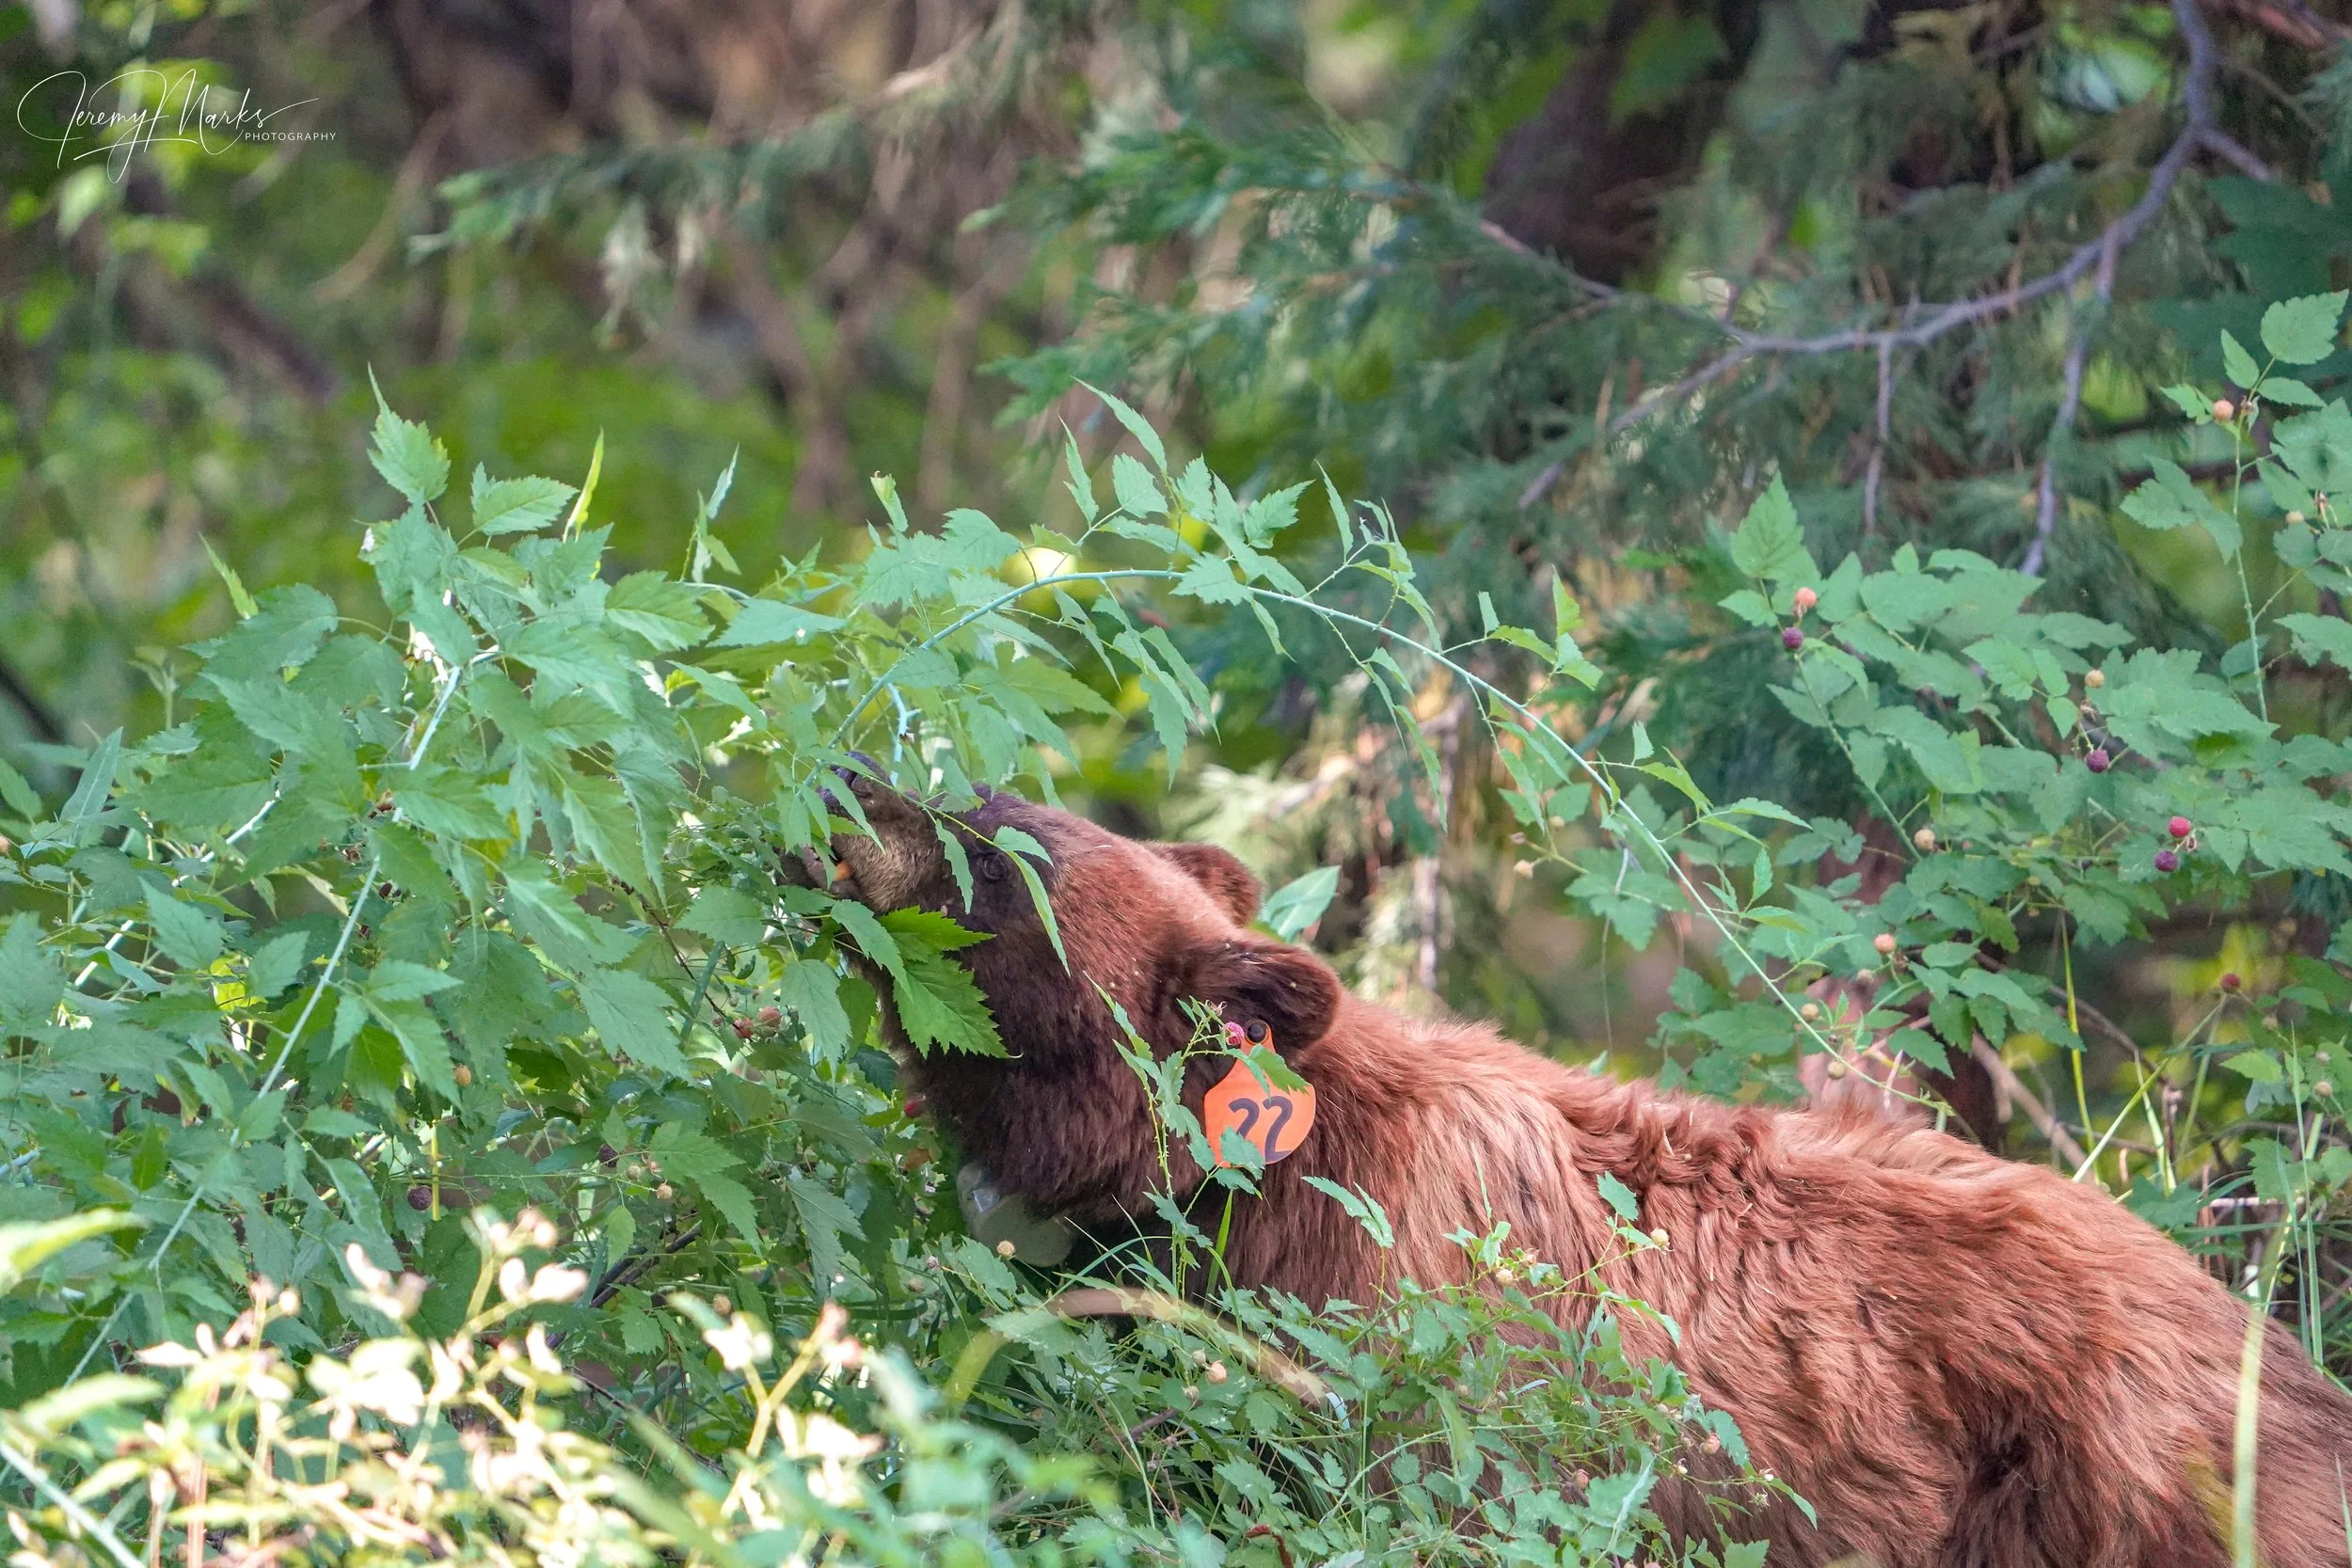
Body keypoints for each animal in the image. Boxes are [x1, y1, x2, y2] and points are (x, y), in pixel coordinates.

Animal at [782, 772, 2352, 1568]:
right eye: (991, 792)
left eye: (998, 851)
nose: (849, 779)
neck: (1261, 1183)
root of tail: (2268, 1347)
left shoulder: (1402, 1360)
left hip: (2110, 1499)